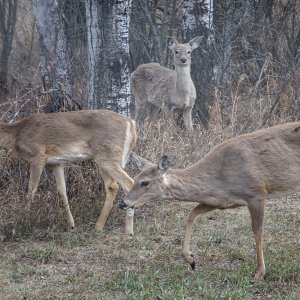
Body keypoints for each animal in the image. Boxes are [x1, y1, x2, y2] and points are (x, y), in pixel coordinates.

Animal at [0, 109, 137, 236]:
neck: (16, 134)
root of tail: (131, 124)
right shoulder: (56, 163)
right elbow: (62, 191)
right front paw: (71, 225)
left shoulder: (37, 156)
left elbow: (31, 191)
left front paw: (22, 221)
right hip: (105, 157)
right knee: (112, 186)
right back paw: (99, 226)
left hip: (107, 155)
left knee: (128, 183)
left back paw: (128, 232)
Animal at [120, 122, 300, 282]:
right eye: (135, 178)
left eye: (145, 182)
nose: (123, 203)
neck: (220, 178)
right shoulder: (218, 202)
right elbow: (191, 214)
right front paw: (191, 259)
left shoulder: (256, 193)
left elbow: (257, 231)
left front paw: (260, 273)